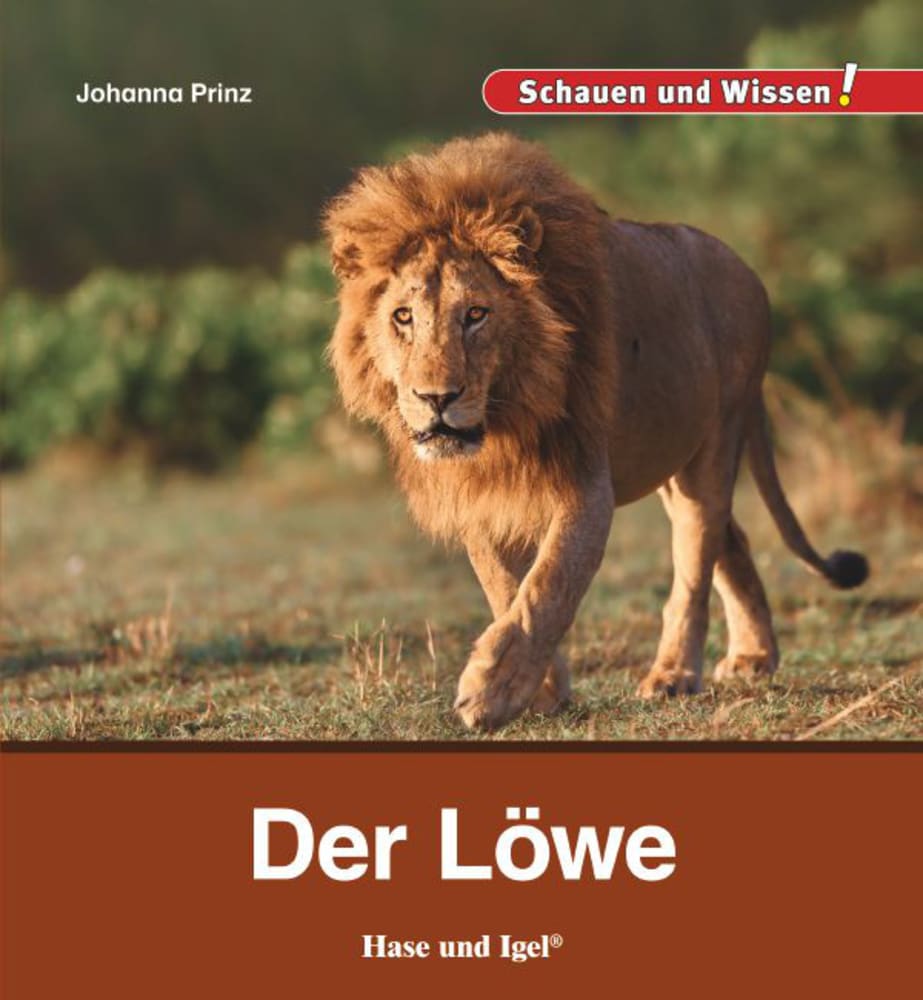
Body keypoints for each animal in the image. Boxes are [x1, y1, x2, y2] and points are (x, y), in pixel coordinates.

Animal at [323, 132, 868, 730]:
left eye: (475, 314)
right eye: (403, 317)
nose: (435, 399)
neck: (506, 420)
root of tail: (748, 271)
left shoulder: (585, 483)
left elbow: (548, 585)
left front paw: (492, 690)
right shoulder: (479, 494)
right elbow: (506, 588)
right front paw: (540, 691)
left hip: (715, 440)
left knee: (694, 565)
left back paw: (674, 674)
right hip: (669, 459)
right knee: (731, 539)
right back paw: (754, 656)